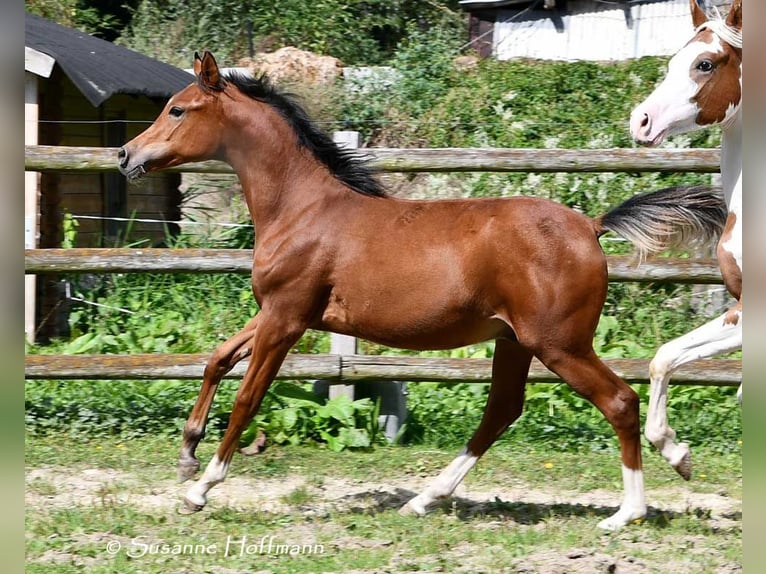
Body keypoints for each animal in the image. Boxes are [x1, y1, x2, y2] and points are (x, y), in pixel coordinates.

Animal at [118, 51, 728, 532]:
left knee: (618, 401)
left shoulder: (286, 318)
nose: (126, 155)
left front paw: (200, 488)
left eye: (178, 109)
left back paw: (635, 504)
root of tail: (590, 226)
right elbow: (216, 360)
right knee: (502, 410)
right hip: (515, 341)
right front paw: (187, 452)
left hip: (559, 344)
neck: (302, 208)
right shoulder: (277, 313)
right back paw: (423, 499)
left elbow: (248, 396)